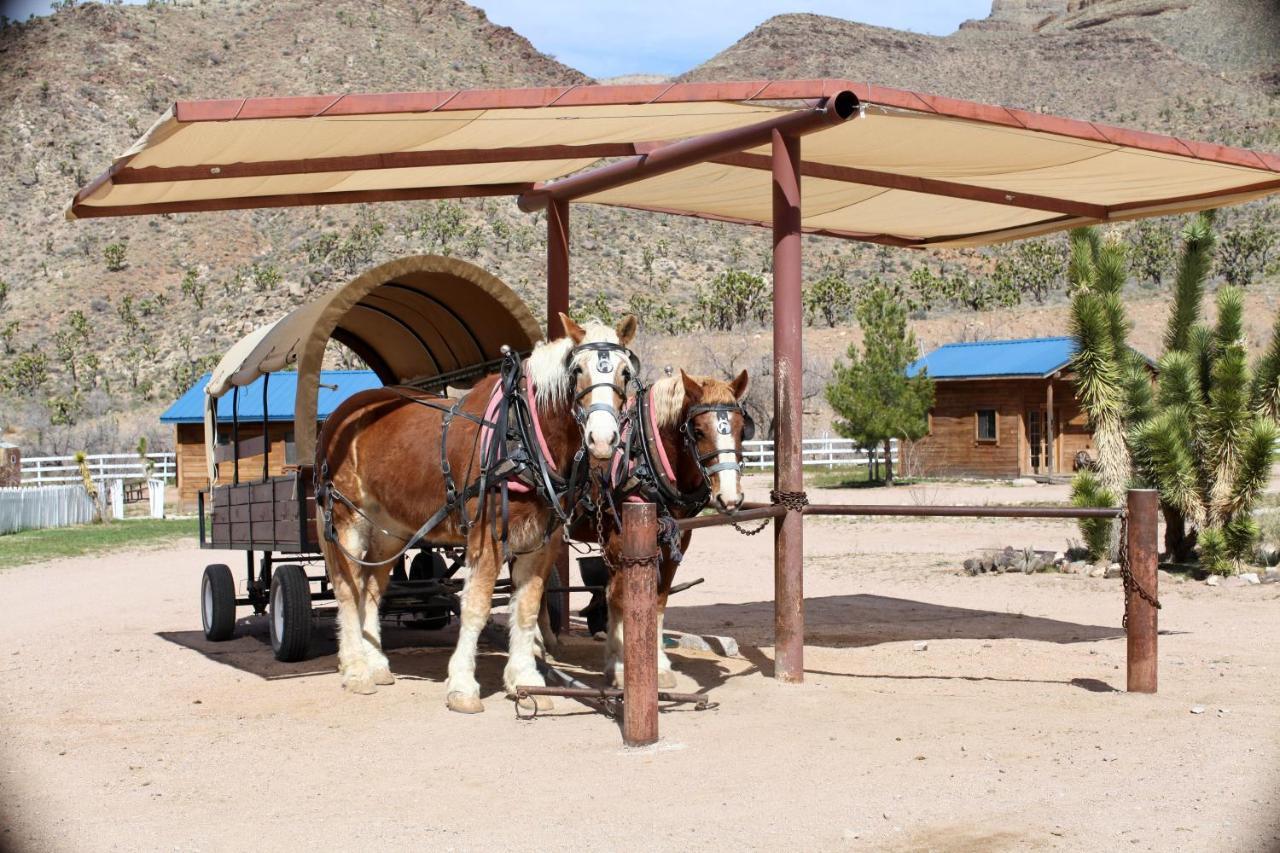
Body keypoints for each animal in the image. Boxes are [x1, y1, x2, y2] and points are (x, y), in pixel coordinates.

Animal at [314, 312, 634, 712]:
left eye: (625, 372)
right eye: (576, 370)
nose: (602, 439)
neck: (521, 431)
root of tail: (338, 417)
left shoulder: (542, 540)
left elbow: (527, 606)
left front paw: (526, 680)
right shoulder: (487, 535)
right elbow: (477, 605)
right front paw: (463, 685)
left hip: (390, 531)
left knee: (372, 588)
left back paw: (377, 664)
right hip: (348, 519)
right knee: (348, 588)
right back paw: (356, 669)